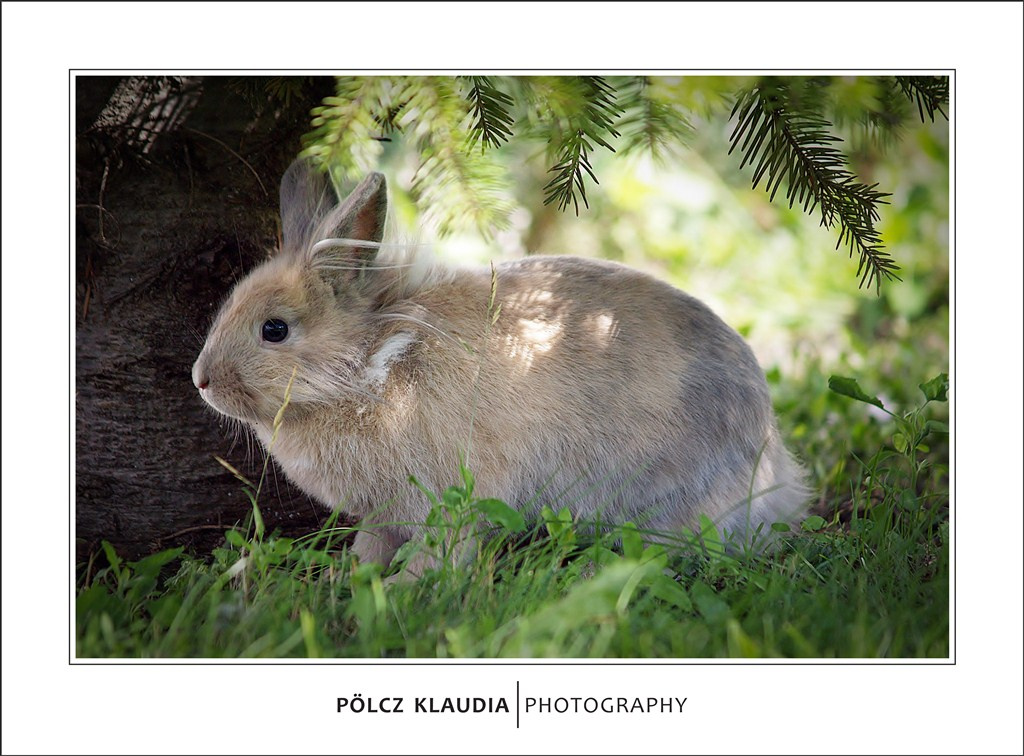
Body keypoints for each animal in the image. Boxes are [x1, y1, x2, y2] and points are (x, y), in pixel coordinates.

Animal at [193, 158, 806, 569]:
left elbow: (442, 548)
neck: (370, 366)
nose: (200, 380)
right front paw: (352, 579)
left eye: (274, 329)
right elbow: (372, 544)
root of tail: (771, 458)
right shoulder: (384, 512)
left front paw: (405, 591)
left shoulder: (451, 496)